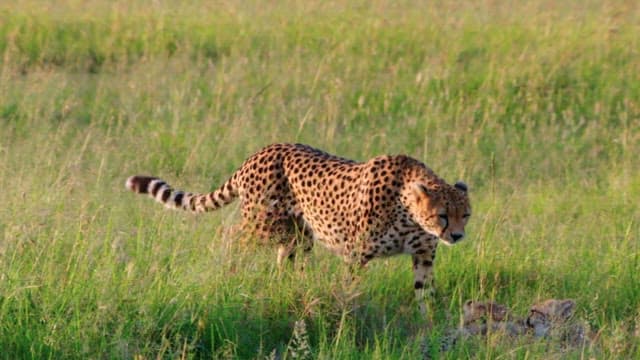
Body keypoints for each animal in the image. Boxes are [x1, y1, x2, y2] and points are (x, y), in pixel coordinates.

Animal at [127, 143, 472, 312]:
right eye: (443, 215)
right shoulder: (356, 252)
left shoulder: (424, 254)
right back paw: (227, 273)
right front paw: (348, 312)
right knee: (228, 238)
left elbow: (424, 292)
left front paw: (427, 320)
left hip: (296, 233)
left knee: (285, 258)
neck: (408, 210)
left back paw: (286, 286)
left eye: (465, 215)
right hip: (260, 223)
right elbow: (351, 287)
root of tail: (264, 149)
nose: (456, 236)